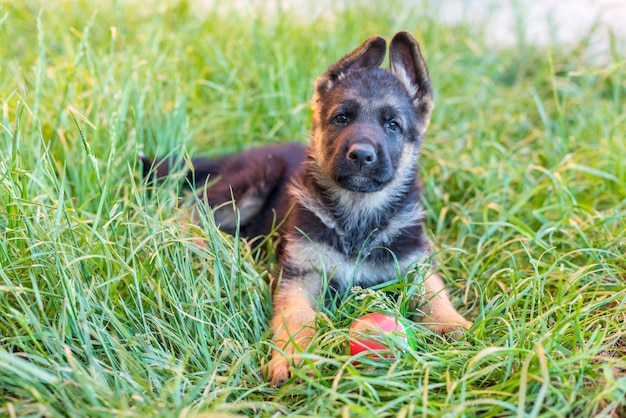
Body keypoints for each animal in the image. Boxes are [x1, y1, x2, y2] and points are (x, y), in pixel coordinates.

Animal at [143, 31, 468, 386]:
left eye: (393, 125)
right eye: (342, 117)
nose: (362, 155)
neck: (358, 215)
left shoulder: (414, 263)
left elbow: (435, 292)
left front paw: (454, 325)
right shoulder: (300, 275)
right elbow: (296, 317)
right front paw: (293, 358)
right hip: (252, 181)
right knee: (189, 209)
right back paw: (203, 244)